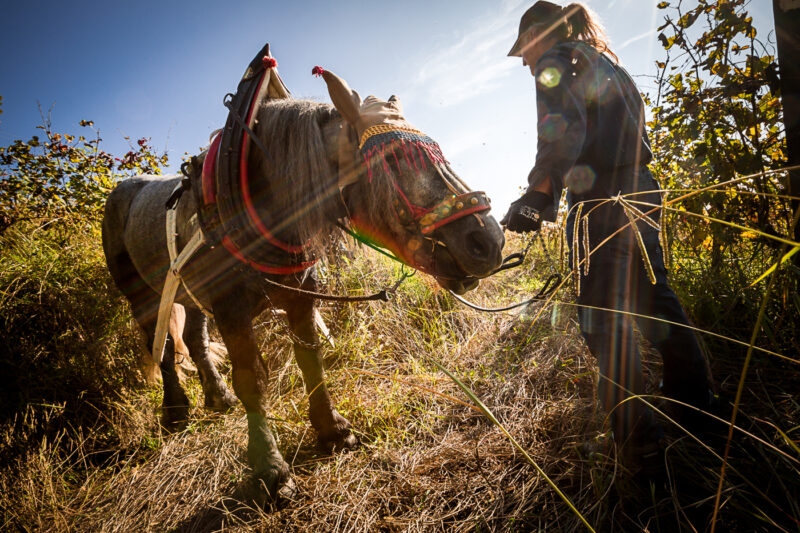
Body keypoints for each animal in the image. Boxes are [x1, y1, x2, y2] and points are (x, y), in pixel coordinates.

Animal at [98, 67, 500, 498]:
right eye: (393, 158)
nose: (489, 241)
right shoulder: (230, 308)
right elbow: (252, 381)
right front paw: (270, 468)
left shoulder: (302, 297)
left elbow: (311, 360)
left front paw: (332, 430)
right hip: (141, 295)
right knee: (161, 346)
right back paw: (175, 410)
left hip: (190, 291)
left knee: (194, 339)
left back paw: (217, 397)